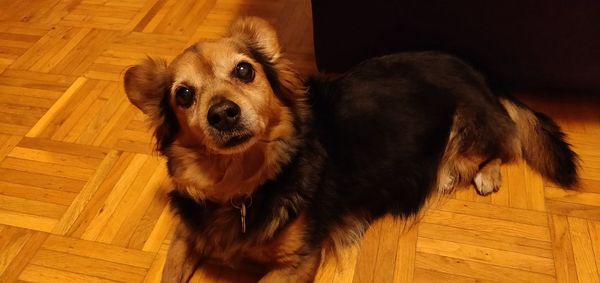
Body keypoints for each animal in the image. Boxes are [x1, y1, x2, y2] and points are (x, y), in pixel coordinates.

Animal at [124, 17, 580, 282]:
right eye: (184, 95)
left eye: (244, 71)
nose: (222, 114)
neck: (244, 186)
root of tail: (480, 73)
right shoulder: (186, 237)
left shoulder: (298, 260)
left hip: (467, 134)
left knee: (504, 144)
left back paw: (482, 173)